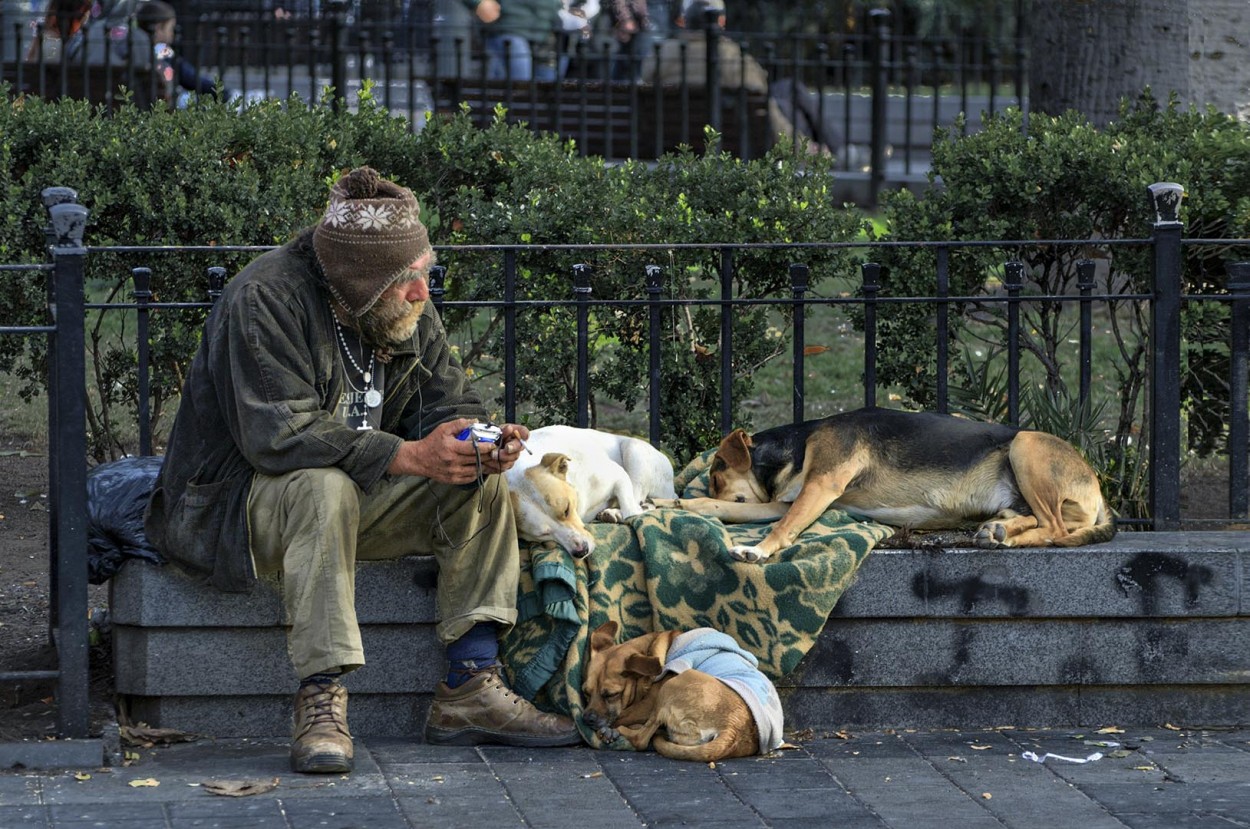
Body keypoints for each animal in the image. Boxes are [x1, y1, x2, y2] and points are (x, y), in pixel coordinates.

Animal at [505, 427, 680, 557]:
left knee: (637, 499)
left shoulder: (618, 475)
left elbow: (630, 509)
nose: (581, 551)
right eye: (542, 534)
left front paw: (622, 511)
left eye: (566, 510)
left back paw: (617, 512)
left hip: (634, 449)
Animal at [650, 407, 1120, 565]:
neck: (798, 445)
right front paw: (666, 503)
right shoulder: (788, 501)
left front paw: (759, 550)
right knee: (1040, 522)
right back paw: (998, 531)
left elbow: (782, 528)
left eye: (715, 473)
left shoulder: (820, 487)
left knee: (1056, 529)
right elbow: (717, 509)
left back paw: (1006, 536)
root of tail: (1098, 489)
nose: (710, 481)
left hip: (1025, 445)